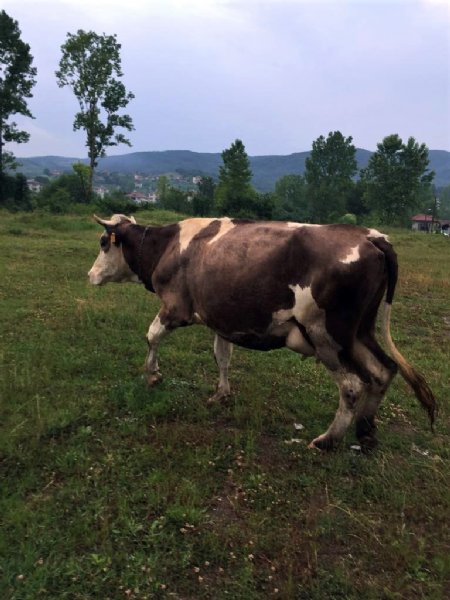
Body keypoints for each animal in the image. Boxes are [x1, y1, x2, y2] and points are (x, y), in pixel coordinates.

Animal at [88, 213, 436, 452]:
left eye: (104, 243)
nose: (90, 274)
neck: (169, 245)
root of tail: (372, 236)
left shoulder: (176, 308)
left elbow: (152, 336)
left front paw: (153, 375)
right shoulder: (221, 317)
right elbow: (222, 356)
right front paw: (221, 393)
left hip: (326, 335)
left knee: (352, 385)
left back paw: (327, 440)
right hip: (358, 333)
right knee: (383, 370)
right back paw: (365, 431)